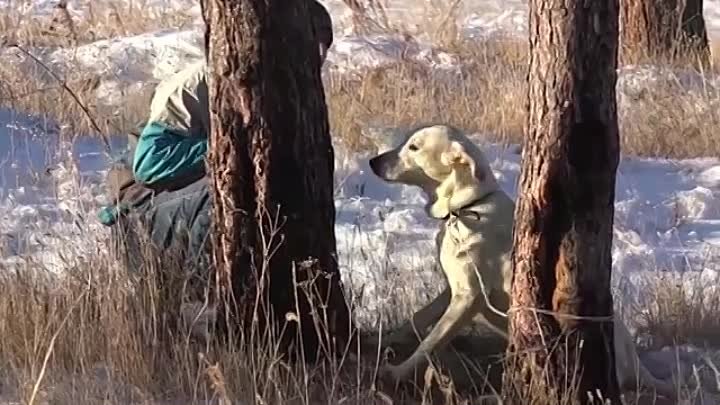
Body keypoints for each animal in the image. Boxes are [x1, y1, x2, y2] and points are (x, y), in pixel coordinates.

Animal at [368, 124, 676, 398]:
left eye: (414, 147)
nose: (373, 162)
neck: (467, 208)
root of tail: (638, 368)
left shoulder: (468, 298)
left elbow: (429, 344)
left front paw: (397, 372)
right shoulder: (453, 290)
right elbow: (417, 318)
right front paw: (387, 339)